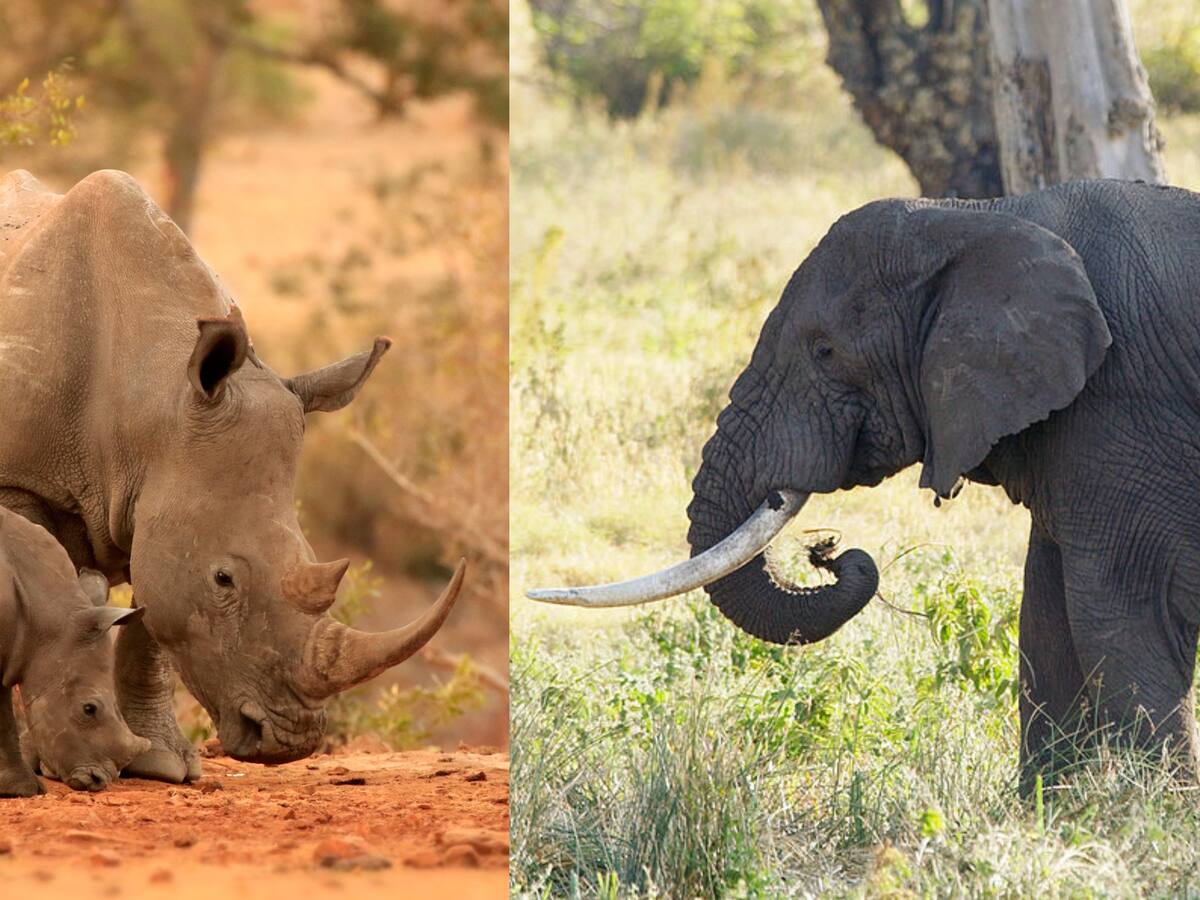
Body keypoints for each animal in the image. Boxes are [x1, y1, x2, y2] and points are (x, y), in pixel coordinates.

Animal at [531, 178, 1200, 789]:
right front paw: (1056, 814)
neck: (980, 215)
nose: (831, 552)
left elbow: (1117, 617)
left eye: (825, 351)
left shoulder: (1122, 406)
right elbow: (1046, 617)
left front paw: (1147, 813)